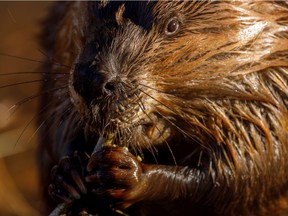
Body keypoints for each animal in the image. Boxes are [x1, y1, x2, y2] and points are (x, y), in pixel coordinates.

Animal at [38, 0, 288, 215]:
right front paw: (68, 173)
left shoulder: (269, 93)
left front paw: (126, 173)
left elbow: (247, 171)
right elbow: (57, 118)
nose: (91, 82)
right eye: (91, 13)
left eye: (172, 25)